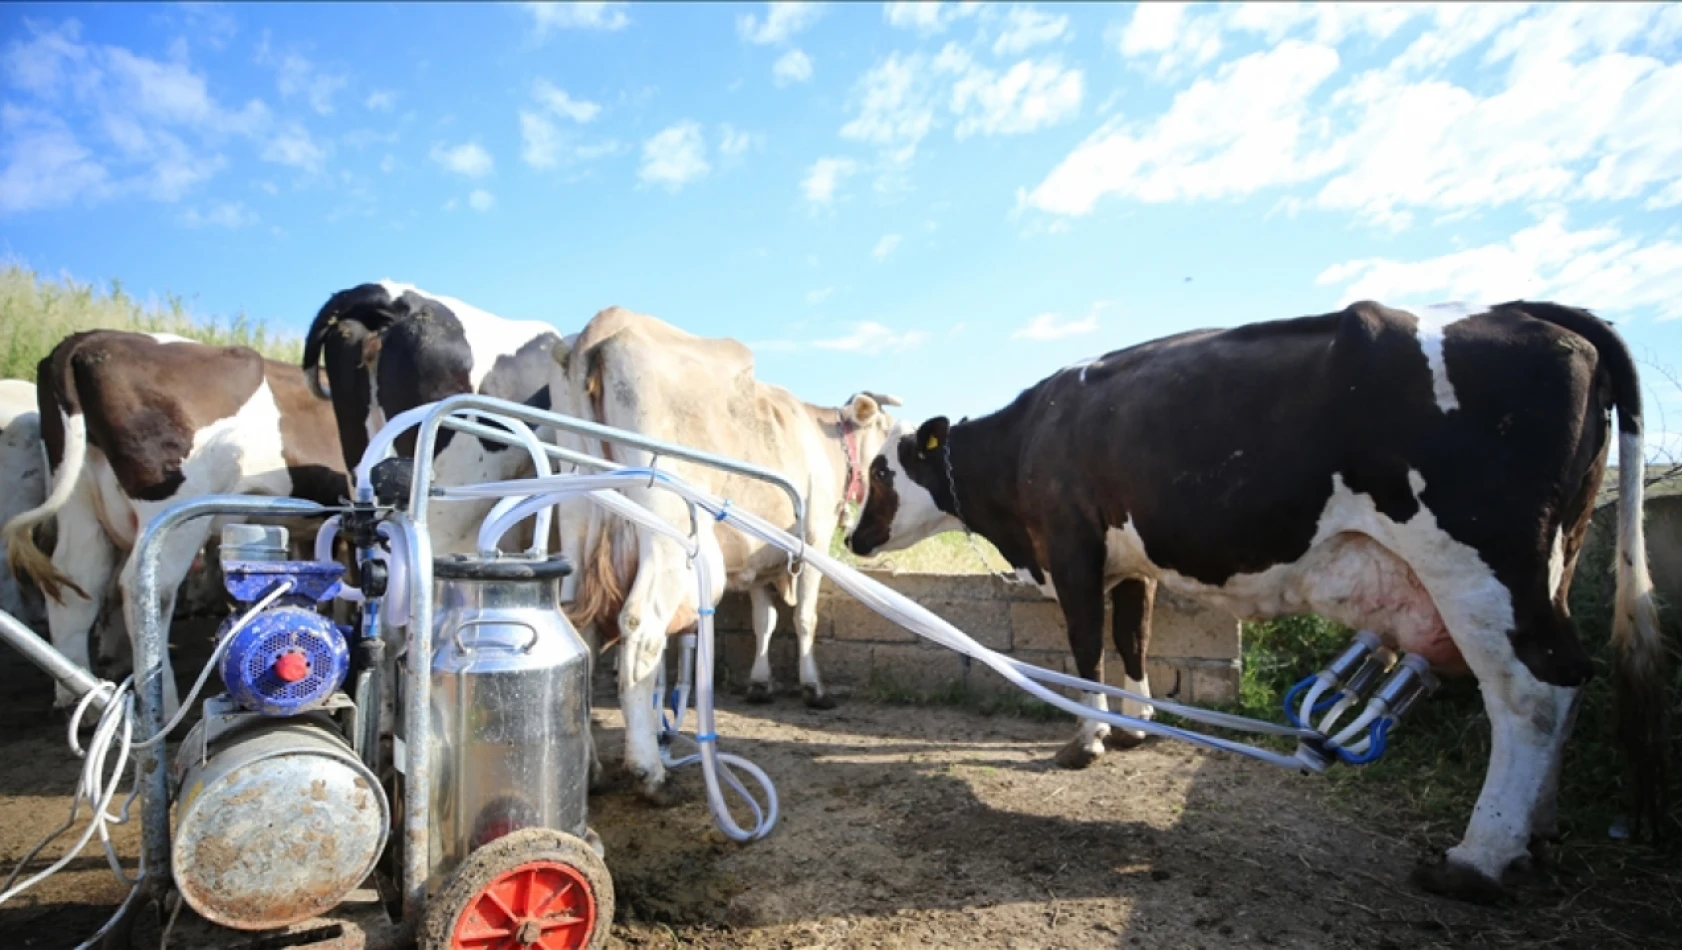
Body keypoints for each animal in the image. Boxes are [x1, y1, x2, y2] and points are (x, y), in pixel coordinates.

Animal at [0, 332, 348, 712]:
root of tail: (91, 338)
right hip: (175, 508)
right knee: (147, 586)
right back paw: (162, 702)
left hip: (81, 502)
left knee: (75, 585)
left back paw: (81, 697)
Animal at [551, 306, 901, 800]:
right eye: (888, 431)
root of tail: (608, 322)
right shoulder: (813, 540)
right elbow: (805, 617)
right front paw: (814, 688)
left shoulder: (759, 560)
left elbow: (763, 620)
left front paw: (760, 682)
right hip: (667, 531)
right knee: (639, 628)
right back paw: (649, 771)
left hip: (578, 526)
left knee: (580, 635)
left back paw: (591, 771)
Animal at [847, 297, 1661, 901]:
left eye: (882, 472)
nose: (852, 537)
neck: (1026, 444)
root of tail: (1527, 311)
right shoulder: (1131, 563)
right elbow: (1134, 638)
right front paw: (1140, 725)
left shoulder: (1072, 548)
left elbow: (1084, 647)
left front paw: (1088, 739)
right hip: (1554, 561)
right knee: (1566, 684)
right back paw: (1532, 837)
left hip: (1479, 562)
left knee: (1531, 694)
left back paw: (1478, 857)